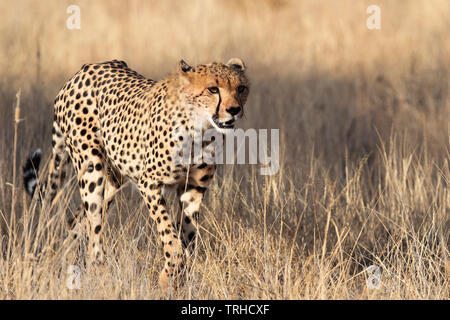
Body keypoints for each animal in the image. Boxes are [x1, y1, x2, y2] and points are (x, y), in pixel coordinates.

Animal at [23, 58, 250, 290]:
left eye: (241, 88)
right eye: (213, 89)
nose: (234, 110)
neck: (201, 128)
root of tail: (83, 71)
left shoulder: (193, 188)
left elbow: (187, 234)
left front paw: (177, 278)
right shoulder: (149, 182)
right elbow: (168, 233)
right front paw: (169, 274)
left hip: (113, 178)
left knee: (77, 220)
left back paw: (68, 262)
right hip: (91, 169)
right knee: (94, 224)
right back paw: (99, 271)